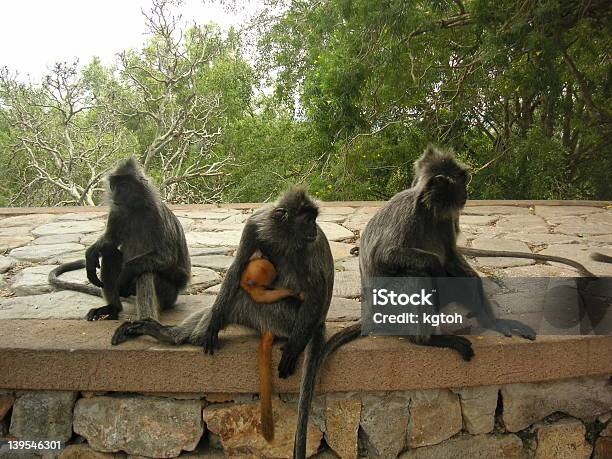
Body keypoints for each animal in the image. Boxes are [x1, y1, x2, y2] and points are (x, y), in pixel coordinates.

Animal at [49, 158, 190, 324]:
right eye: (114, 186)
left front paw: (125, 274)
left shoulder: (156, 215)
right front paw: (91, 253)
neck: (134, 209)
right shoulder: (116, 212)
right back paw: (113, 308)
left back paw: (145, 321)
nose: (115, 195)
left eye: (123, 186)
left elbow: (166, 257)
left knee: (145, 273)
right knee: (108, 252)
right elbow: (110, 241)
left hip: (168, 295)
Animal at [110, 186, 334, 456]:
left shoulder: (309, 247)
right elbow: (237, 268)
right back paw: (168, 333)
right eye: (307, 219)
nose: (314, 229)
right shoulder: (255, 225)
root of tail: (318, 323)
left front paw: (294, 347)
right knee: (228, 298)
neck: (283, 236)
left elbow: (315, 291)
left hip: (284, 318)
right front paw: (214, 322)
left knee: (242, 298)